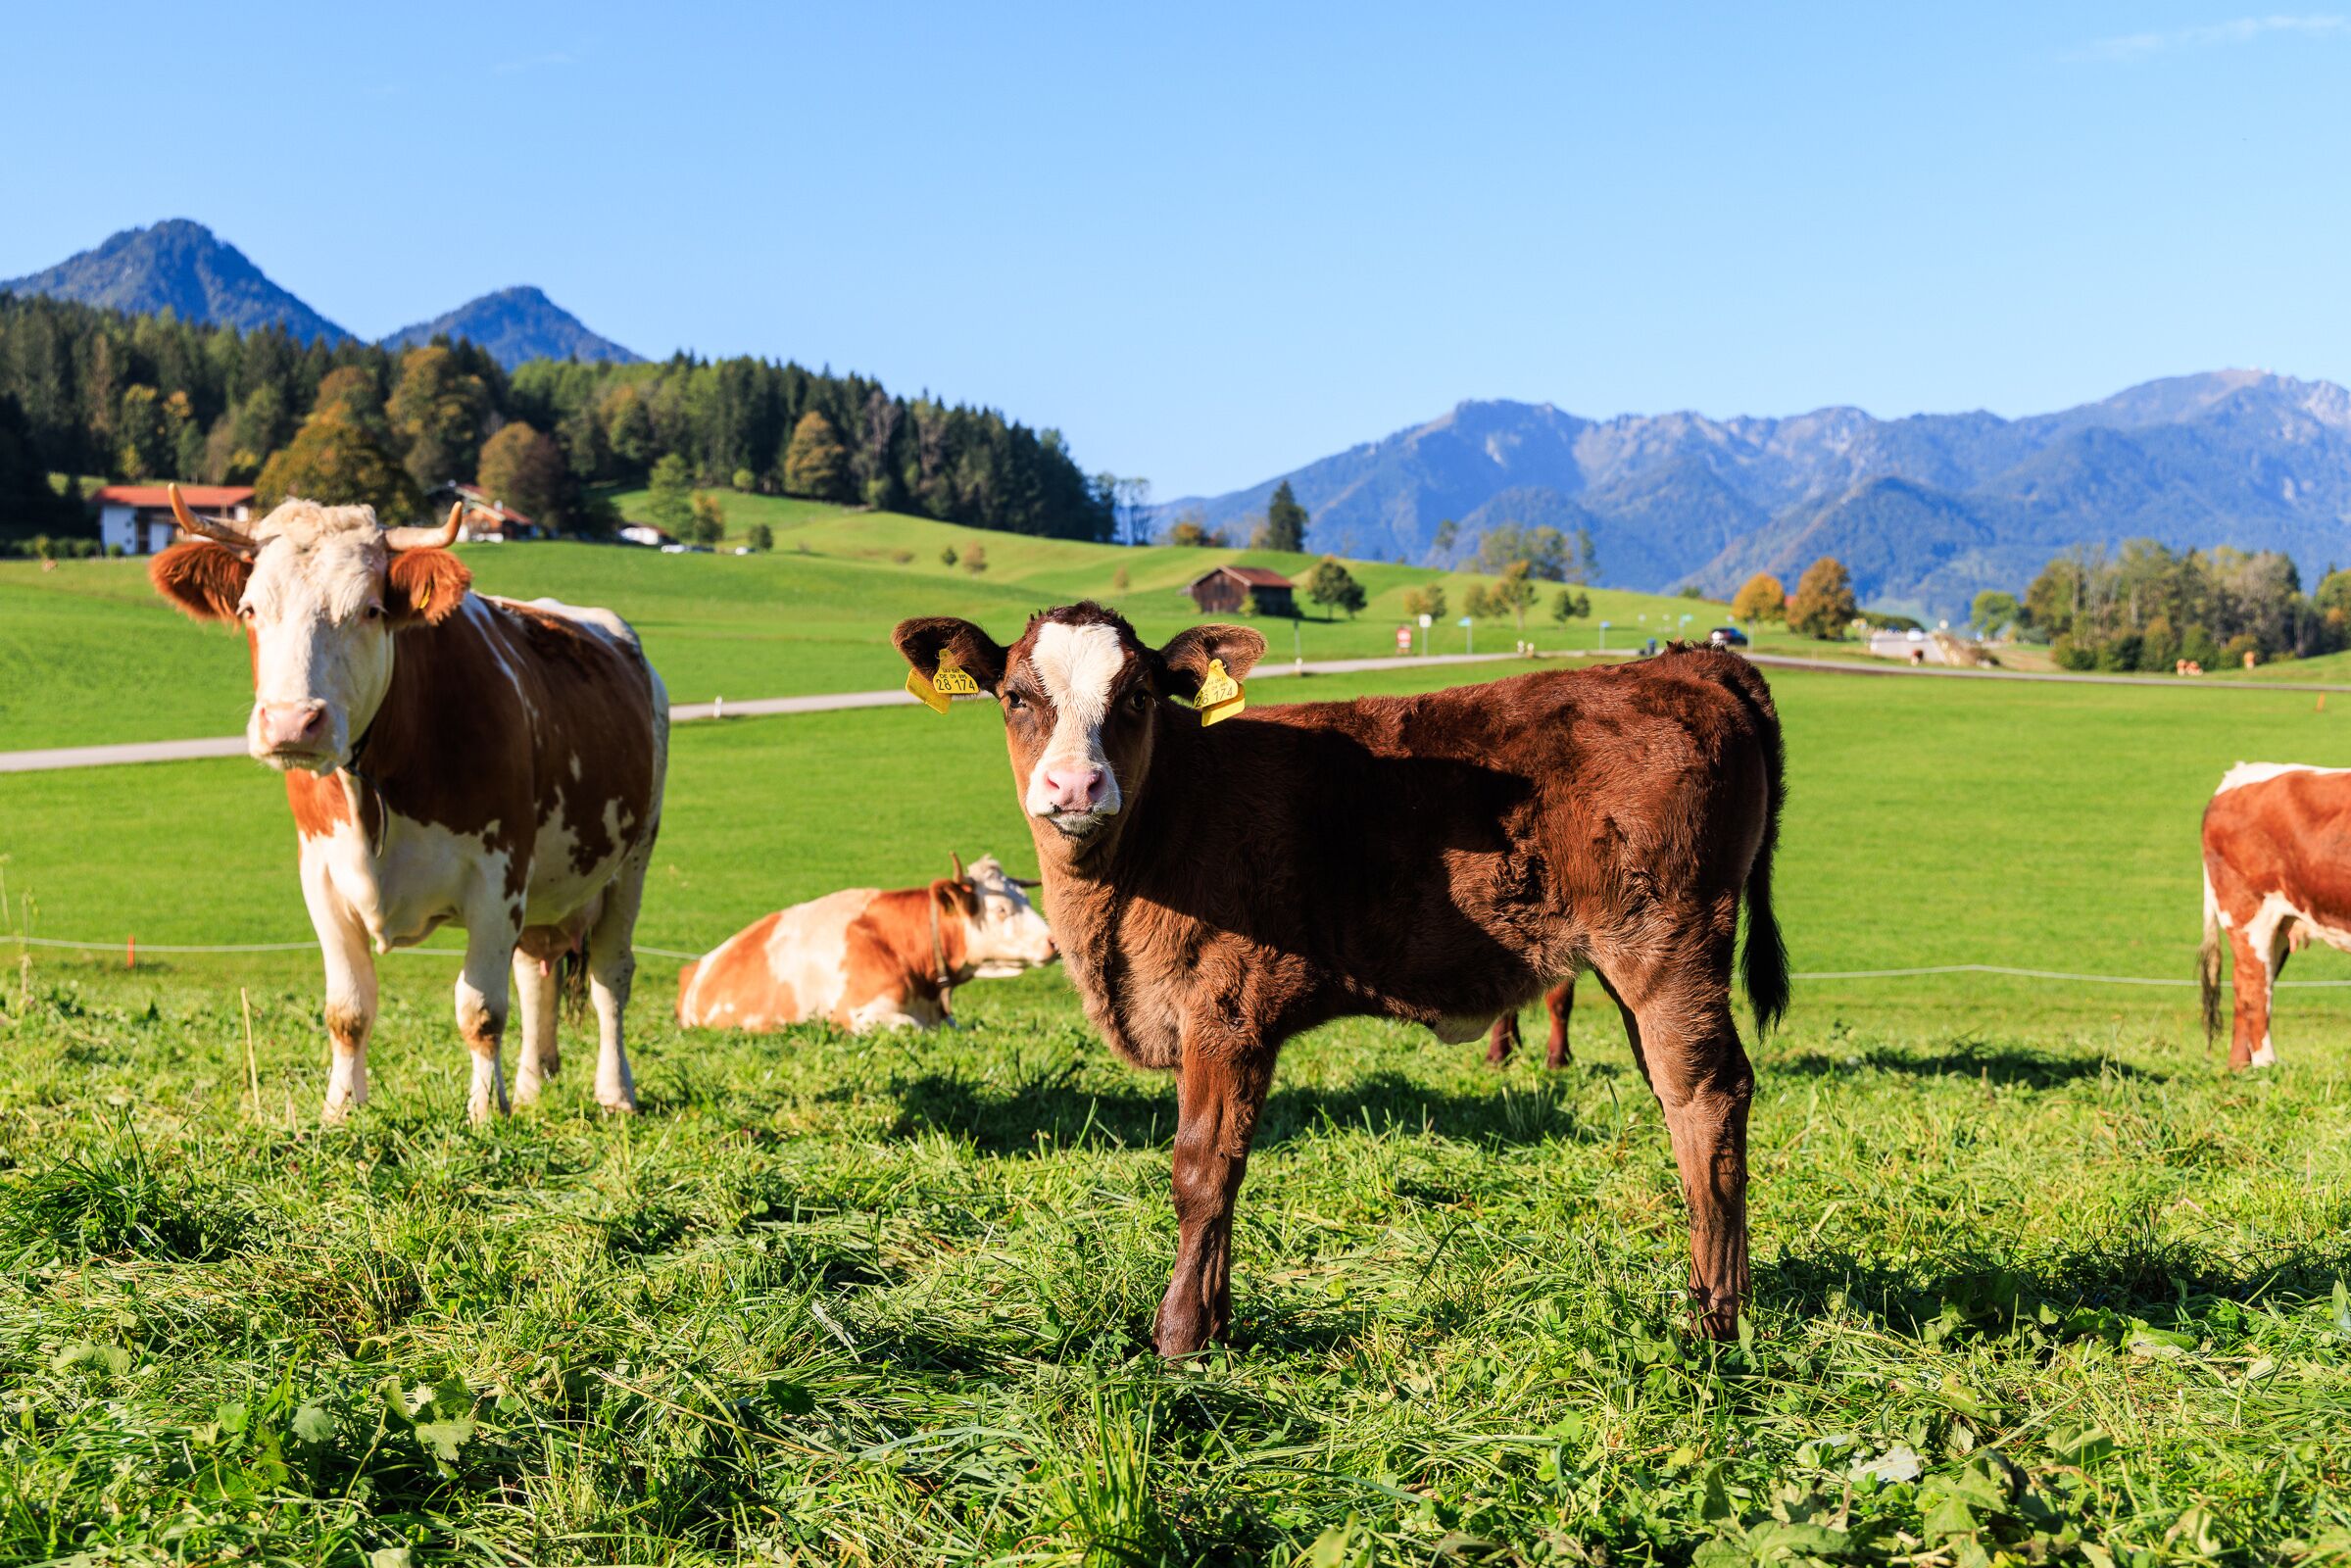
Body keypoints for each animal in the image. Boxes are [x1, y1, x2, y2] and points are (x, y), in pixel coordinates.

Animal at [149, 486, 668, 1124]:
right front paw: (341, 1110)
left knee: (609, 976)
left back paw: (615, 1094)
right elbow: (347, 1009)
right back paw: (528, 1087)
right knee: (535, 974)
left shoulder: (498, 879)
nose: (292, 722)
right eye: (249, 610)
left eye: (371, 610)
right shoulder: (321, 876)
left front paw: (483, 1115)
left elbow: (481, 1010)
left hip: (633, 859)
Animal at [676, 853, 1058, 1031]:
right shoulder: (854, 1013)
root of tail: (698, 966)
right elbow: (913, 1027)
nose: (1054, 942)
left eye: (1025, 898)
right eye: (1002, 909)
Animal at [892, 604, 1787, 1353]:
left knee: (1706, 1094)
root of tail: (1685, 664)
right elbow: (1230, 1163)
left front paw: (1179, 1337)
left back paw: (1713, 1323)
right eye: (1015, 696)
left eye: (1138, 695)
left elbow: (1200, 1169)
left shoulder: (1225, 1012)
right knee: (1678, 1098)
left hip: (1666, 945)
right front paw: (1216, 1323)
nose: (1073, 785)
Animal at [2199, 760, 2351, 1069]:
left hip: (2280, 924)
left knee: (2248, 987)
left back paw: (2240, 1070)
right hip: (2248, 910)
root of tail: (2238, 775)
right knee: (2253, 989)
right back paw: (2267, 1066)